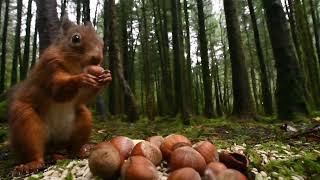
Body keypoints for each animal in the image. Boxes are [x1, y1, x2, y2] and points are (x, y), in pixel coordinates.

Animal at [8, 16, 112, 173]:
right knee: (34, 147)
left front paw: (106, 77)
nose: (97, 58)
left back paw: (80, 152)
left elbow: (82, 97)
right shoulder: (50, 67)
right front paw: (80, 79)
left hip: (83, 120)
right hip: (26, 122)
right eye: (75, 38)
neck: (75, 67)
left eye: (101, 41)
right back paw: (33, 163)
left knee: (72, 149)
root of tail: (54, 142)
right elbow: (58, 90)